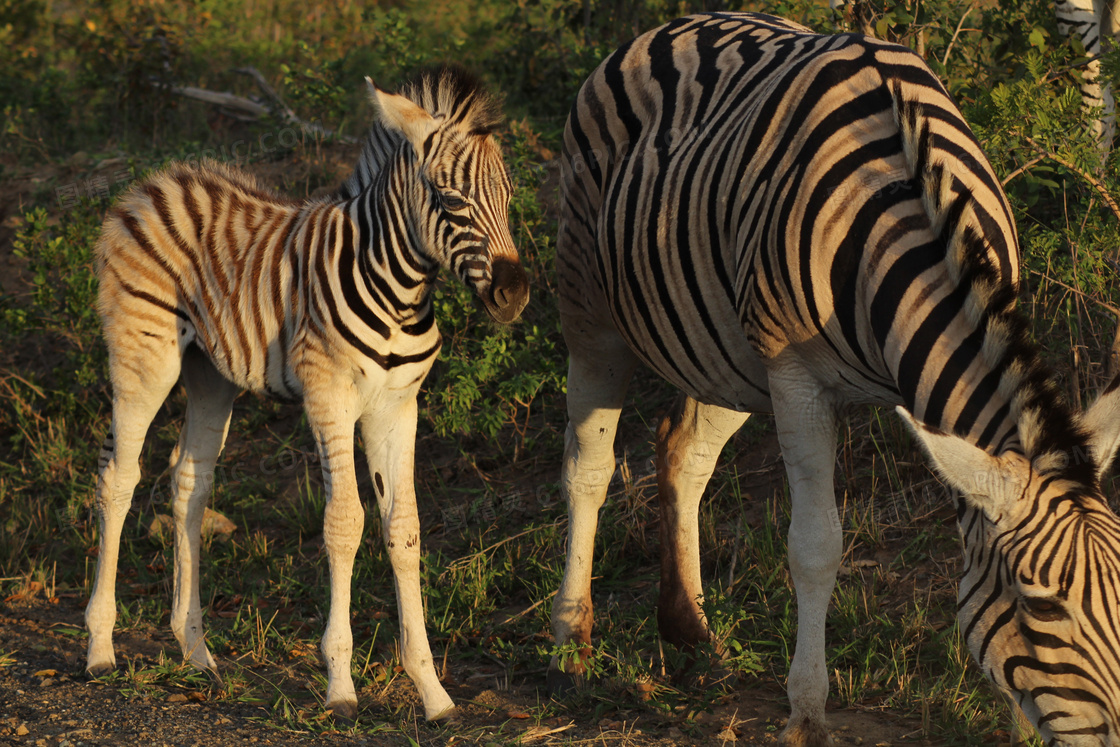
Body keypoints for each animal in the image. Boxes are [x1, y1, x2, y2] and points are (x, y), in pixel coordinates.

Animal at [89, 65, 526, 725]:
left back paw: (196, 651)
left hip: (210, 374)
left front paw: (432, 691)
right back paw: (99, 648)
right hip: (145, 357)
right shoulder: (330, 397)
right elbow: (345, 523)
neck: (398, 289)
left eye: (509, 197)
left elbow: (404, 529)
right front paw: (340, 685)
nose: (515, 294)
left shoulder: (398, 407)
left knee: (189, 483)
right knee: (119, 477)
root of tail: (156, 181)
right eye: (452, 201)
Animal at [553, 13, 1120, 747]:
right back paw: (571, 644)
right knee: (588, 468)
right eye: (1042, 609)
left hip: (727, 349)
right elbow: (815, 546)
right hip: (590, 307)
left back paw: (692, 635)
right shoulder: (796, 379)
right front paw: (806, 711)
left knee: (684, 450)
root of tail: (672, 25)